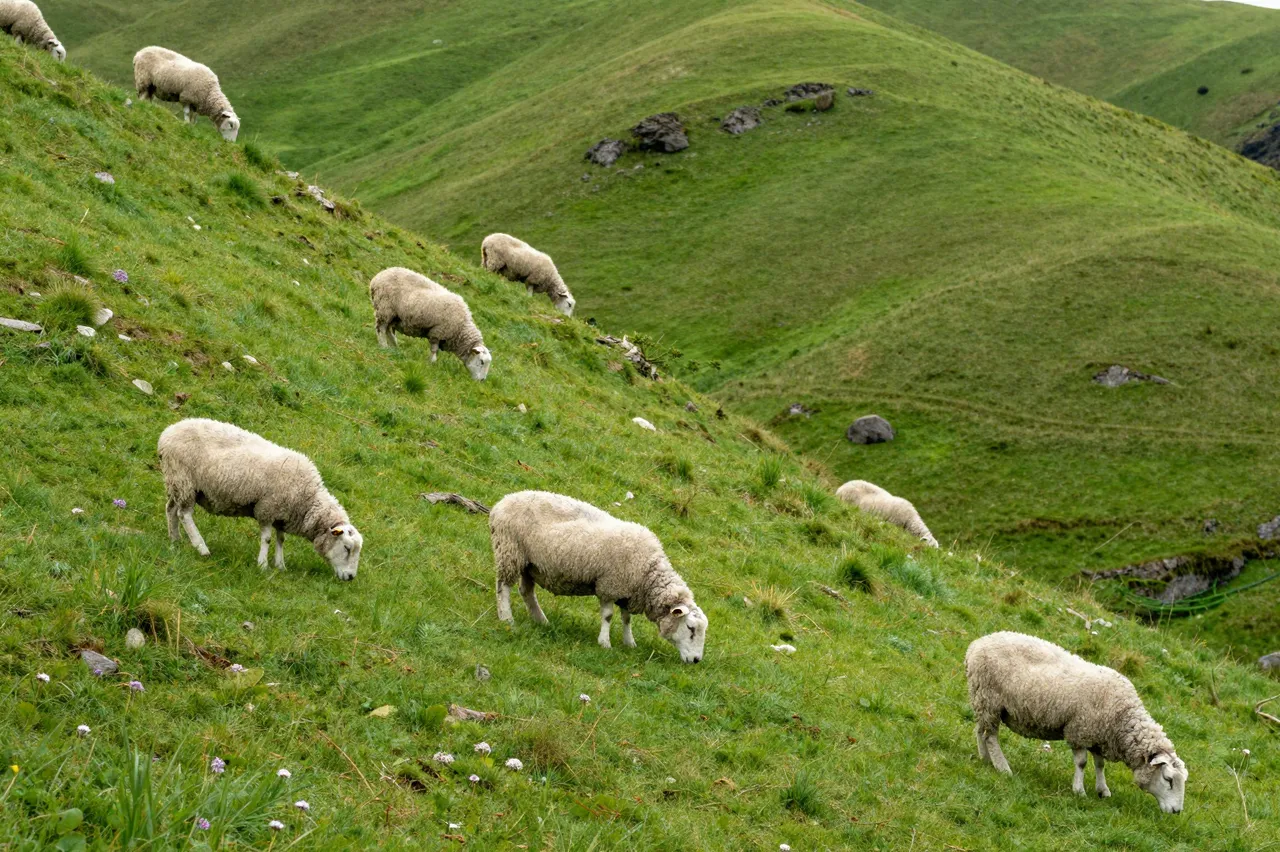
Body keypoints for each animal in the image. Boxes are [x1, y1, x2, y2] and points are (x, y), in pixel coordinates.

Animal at [157, 418, 363, 580]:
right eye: (346, 548)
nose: (351, 577)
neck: (308, 499)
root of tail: (166, 434)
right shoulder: (267, 509)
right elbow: (267, 539)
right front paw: (263, 565)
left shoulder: (282, 515)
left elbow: (281, 539)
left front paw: (280, 565)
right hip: (184, 480)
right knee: (185, 515)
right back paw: (201, 547)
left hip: (177, 483)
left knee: (171, 509)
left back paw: (174, 539)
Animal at [489, 490, 707, 662]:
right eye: (690, 628)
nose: (696, 660)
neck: (647, 573)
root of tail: (501, 503)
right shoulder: (609, 586)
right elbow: (608, 616)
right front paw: (604, 642)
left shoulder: (626, 592)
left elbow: (627, 619)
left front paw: (629, 643)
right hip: (510, 550)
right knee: (503, 586)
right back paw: (506, 617)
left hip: (531, 564)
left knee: (526, 591)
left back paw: (540, 620)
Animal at [965, 631, 1187, 813]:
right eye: (1168, 779)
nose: (1176, 811)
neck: (1121, 717)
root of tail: (976, 644)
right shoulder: (1080, 731)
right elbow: (1082, 763)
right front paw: (1079, 790)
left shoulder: (1099, 736)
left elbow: (1100, 764)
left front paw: (1103, 790)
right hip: (990, 698)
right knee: (990, 736)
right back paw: (1003, 768)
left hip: (982, 700)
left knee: (980, 730)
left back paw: (985, 758)